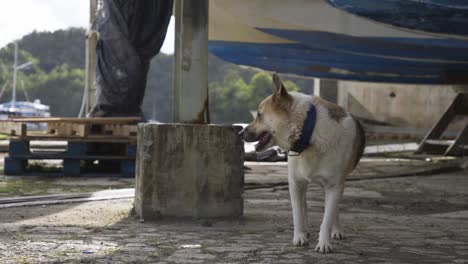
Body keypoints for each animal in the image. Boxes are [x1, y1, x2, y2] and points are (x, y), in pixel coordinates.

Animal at [241, 73, 366, 253]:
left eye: (259, 115)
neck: (309, 133)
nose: (240, 132)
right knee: (304, 204)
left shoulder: (334, 186)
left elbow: (328, 217)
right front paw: (300, 236)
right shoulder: (295, 183)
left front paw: (324, 242)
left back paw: (336, 230)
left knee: (333, 208)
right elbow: (298, 213)